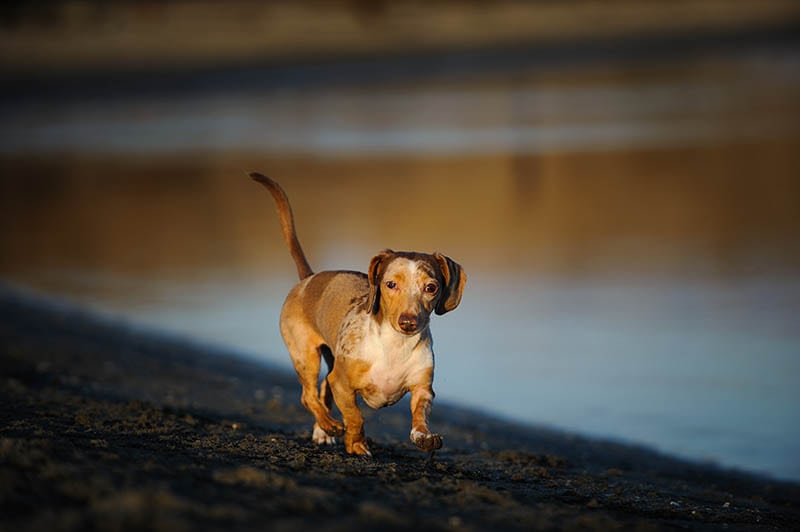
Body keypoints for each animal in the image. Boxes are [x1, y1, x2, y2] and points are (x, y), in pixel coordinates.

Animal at [253, 172, 466, 456]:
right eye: (390, 284)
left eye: (431, 287)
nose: (408, 322)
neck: (394, 346)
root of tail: (309, 279)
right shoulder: (342, 383)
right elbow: (355, 416)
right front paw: (355, 444)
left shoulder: (423, 388)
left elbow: (419, 416)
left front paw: (424, 437)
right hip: (305, 355)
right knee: (308, 395)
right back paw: (329, 426)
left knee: (321, 391)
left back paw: (322, 432)